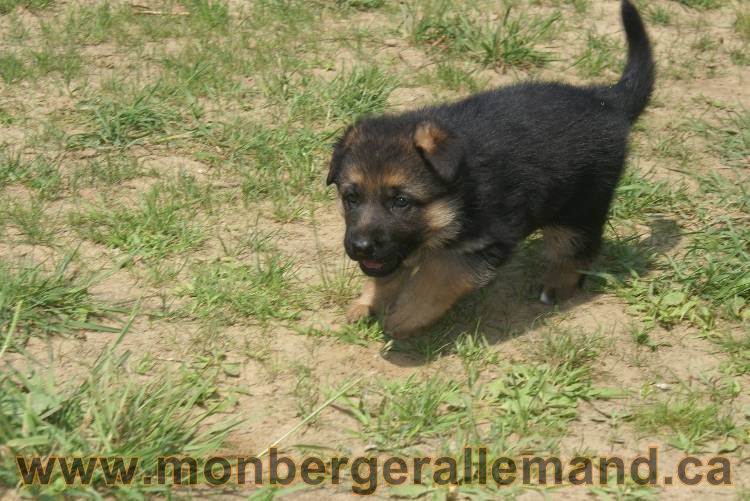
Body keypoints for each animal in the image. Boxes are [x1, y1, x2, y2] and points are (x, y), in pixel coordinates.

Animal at [326, 0, 656, 338]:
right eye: (351, 198)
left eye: (401, 202)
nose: (360, 247)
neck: (461, 189)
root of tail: (607, 101)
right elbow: (388, 273)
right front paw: (369, 302)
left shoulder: (486, 241)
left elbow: (437, 276)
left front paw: (405, 316)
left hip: (580, 208)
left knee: (578, 248)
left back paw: (557, 286)